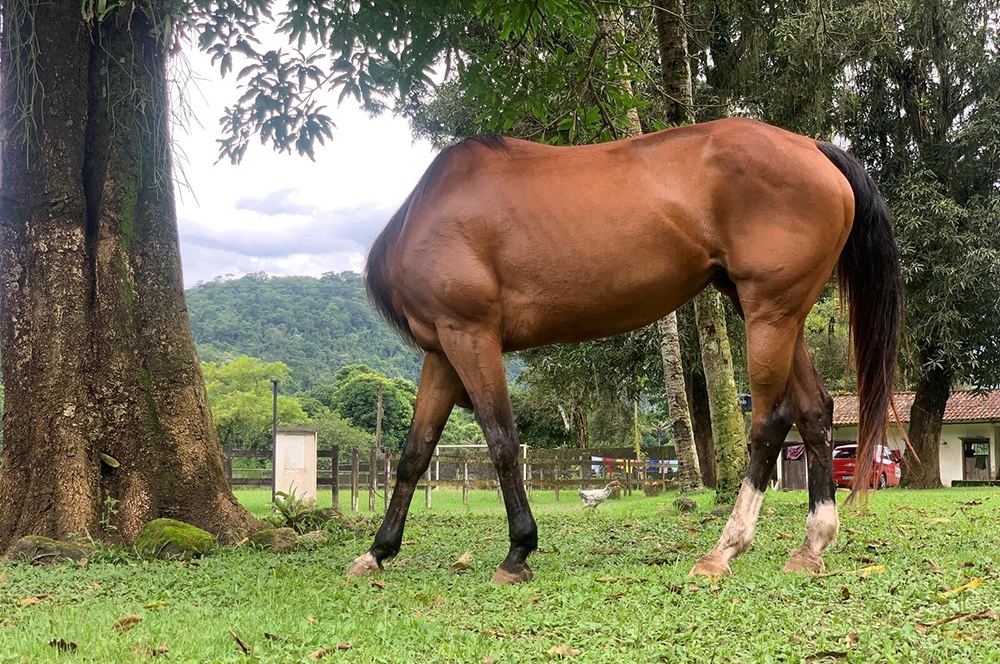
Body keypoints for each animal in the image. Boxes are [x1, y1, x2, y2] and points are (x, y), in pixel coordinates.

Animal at [348, 118, 904, 580]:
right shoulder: (442, 351)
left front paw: (518, 551)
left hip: (770, 313)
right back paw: (812, 545)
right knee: (814, 411)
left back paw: (724, 550)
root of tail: (812, 147)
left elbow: (502, 441)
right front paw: (377, 552)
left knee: (770, 421)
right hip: (778, 314)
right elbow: (414, 454)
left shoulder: (470, 335)